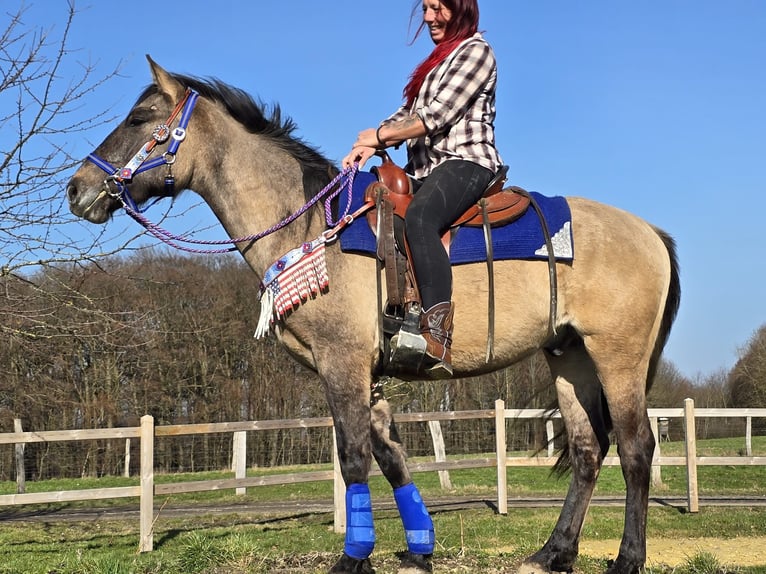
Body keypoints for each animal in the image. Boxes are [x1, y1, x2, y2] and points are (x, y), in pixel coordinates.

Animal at [67, 56, 680, 574]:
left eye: (139, 117)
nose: (77, 188)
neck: (311, 227)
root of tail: (651, 233)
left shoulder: (342, 363)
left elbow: (355, 457)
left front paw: (353, 558)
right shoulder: (369, 374)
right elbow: (392, 457)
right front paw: (420, 550)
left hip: (617, 357)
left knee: (635, 450)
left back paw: (627, 559)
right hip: (568, 357)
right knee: (586, 451)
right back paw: (554, 552)